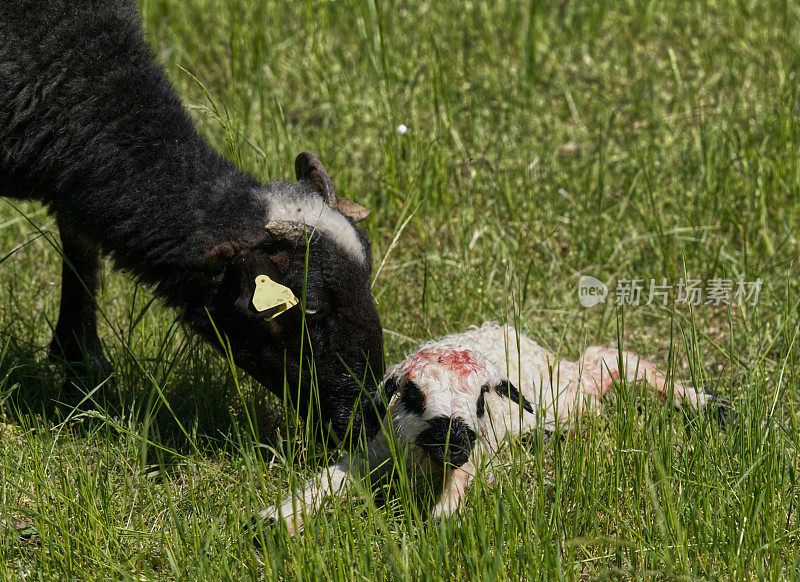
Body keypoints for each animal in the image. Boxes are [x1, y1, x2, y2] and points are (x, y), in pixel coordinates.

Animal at [264, 324, 732, 540]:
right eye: (412, 394)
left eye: (481, 399)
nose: (455, 441)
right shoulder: (376, 448)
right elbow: (332, 477)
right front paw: (276, 520)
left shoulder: (480, 447)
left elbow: (462, 480)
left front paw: (442, 521)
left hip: (565, 391)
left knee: (606, 365)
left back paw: (712, 406)